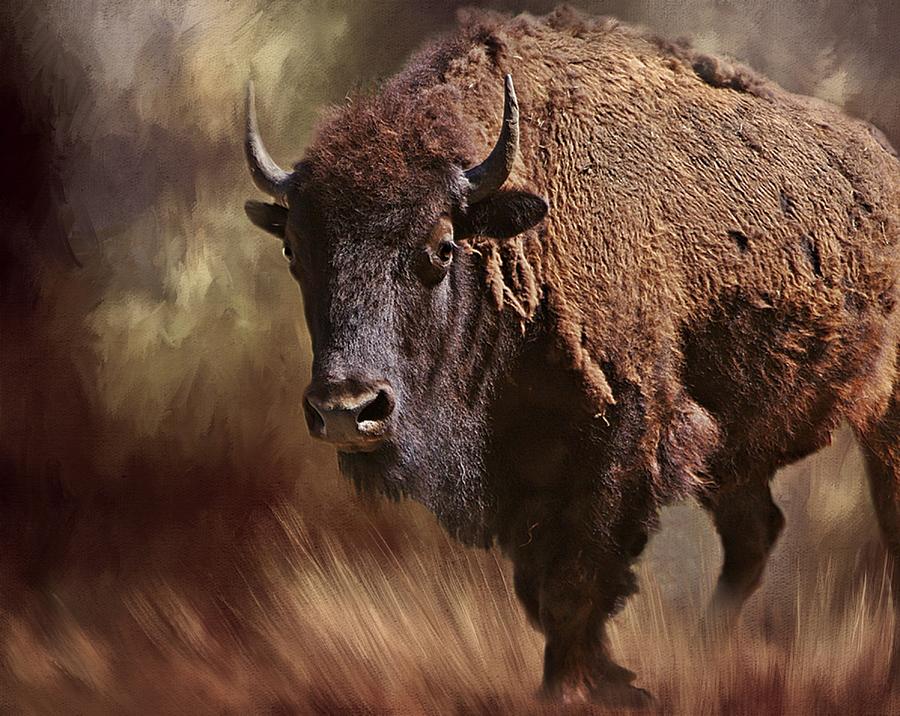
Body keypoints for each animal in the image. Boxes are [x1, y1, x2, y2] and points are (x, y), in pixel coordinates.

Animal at [241, 8, 900, 708]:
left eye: (442, 245)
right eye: (293, 249)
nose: (347, 409)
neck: (514, 237)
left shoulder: (618, 447)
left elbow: (576, 585)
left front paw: (582, 688)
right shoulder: (523, 474)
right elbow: (546, 593)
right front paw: (595, 683)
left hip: (881, 419)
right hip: (734, 452)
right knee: (754, 534)